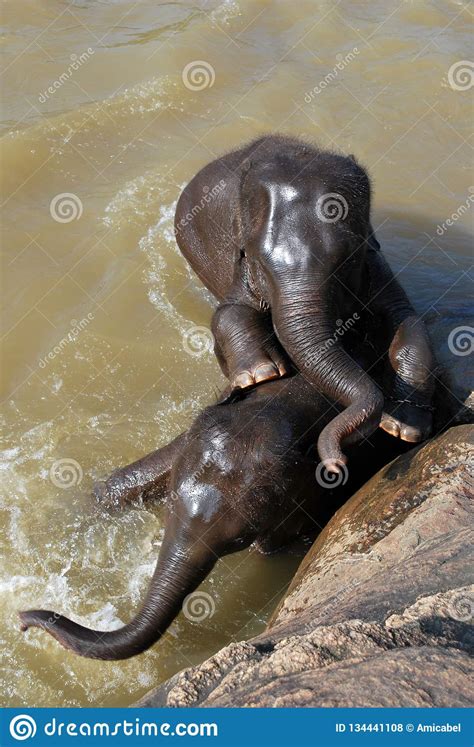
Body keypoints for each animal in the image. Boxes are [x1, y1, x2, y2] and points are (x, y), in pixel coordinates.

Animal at [173, 134, 434, 474]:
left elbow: (406, 319)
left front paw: (403, 428)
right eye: (259, 262)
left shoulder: (374, 264)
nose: (336, 463)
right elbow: (228, 311)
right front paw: (261, 374)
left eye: (346, 259)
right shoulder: (239, 262)